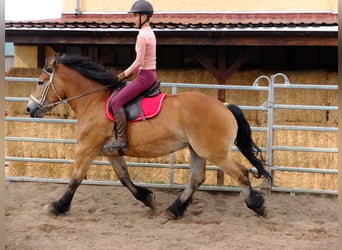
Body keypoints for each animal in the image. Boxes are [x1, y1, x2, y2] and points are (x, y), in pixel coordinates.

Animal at [26, 53, 272, 219]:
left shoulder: (87, 148)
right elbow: (124, 177)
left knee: (241, 173)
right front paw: (147, 198)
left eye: (40, 82)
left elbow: (75, 178)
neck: (94, 100)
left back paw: (257, 204)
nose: (30, 109)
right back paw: (174, 210)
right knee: (196, 179)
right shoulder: (111, 152)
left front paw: (57, 205)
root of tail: (224, 106)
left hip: (214, 152)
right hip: (196, 150)